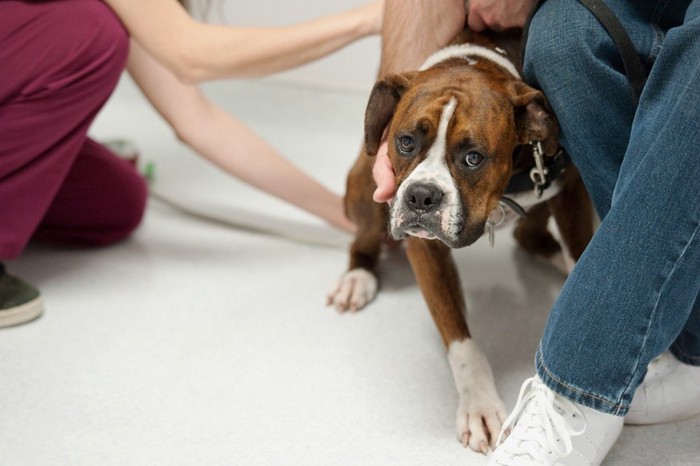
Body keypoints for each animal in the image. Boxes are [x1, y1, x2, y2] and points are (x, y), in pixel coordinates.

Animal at [326, 29, 592, 452]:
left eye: (473, 157)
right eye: (405, 142)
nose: (421, 196)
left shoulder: (571, 193)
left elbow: (583, 250)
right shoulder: (425, 245)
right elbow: (460, 340)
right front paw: (479, 405)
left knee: (528, 234)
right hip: (366, 181)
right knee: (361, 240)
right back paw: (357, 277)